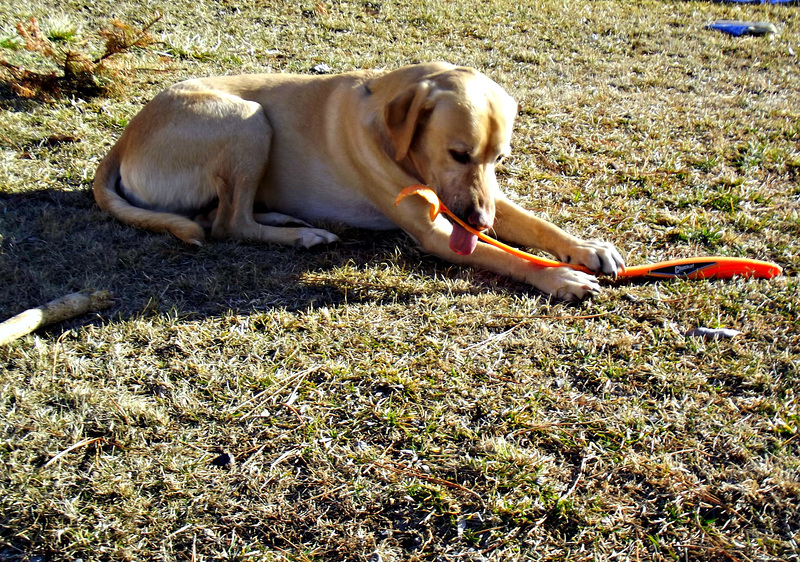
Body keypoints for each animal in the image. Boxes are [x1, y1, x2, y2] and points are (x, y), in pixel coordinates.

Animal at [95, 61, 624, 300]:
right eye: (458, 154)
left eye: (499, 158)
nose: (482, 222)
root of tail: (123, 140)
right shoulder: (438, 231)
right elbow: (509, 257)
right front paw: (558, 276)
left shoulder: (478, 200)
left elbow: (536, 224)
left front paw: (585, 248)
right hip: (248, 118)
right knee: (229, 224)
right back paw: (303, 234)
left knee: (220, 213)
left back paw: (286, 218)